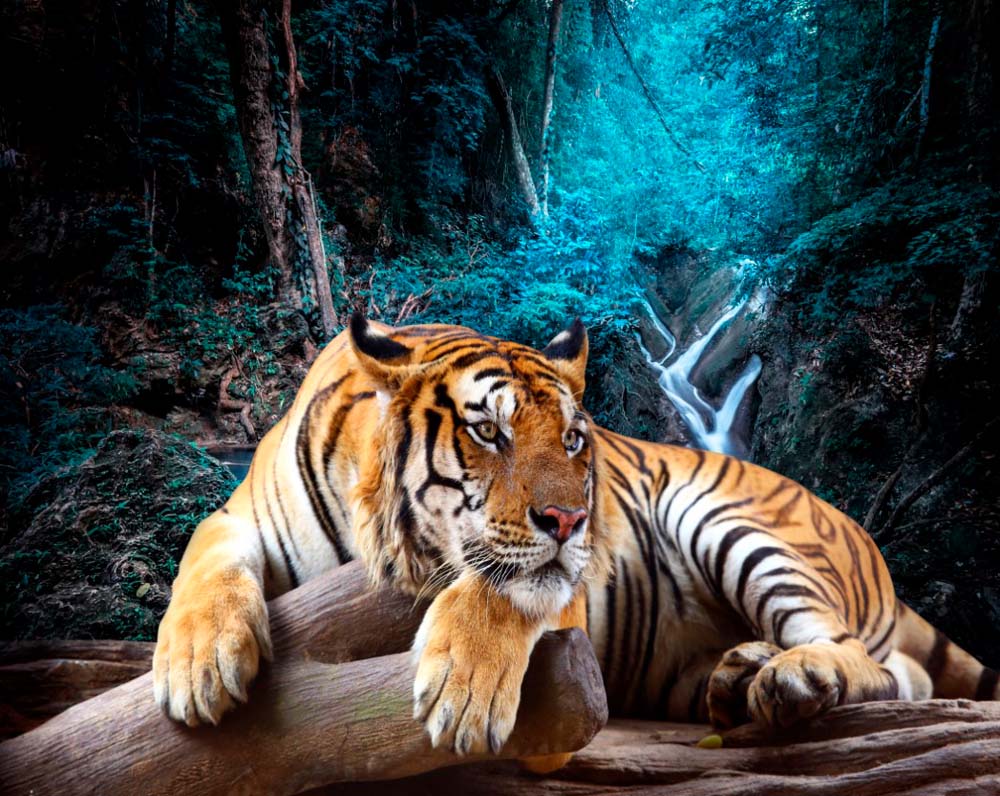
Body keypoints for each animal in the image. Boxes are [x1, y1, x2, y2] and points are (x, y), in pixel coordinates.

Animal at [153, 314, 999, 765]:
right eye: (487, 432)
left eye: (570, 440)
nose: (570, 522)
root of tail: (866, 537)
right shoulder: (240, 515)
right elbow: (202, 556)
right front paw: (198, 665)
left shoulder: (561, 589)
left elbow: (505, 591)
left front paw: (464, 694)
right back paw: (741, 675)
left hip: (725, 518)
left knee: (876, 665)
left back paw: (793, 678)